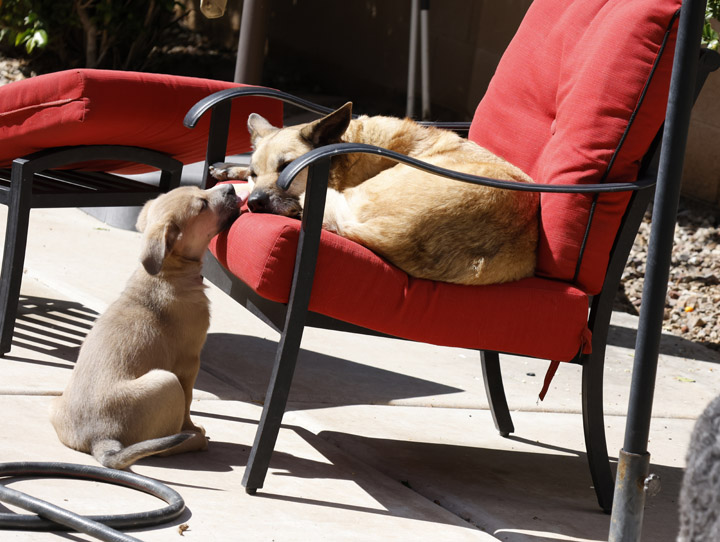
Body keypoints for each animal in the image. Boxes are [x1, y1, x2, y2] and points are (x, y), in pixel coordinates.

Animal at [50, 185, 245, 470]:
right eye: (202, 205)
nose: (230, 188)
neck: (168, 273)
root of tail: (100, 439)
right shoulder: (189, 363)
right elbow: (188, 406)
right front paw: (193, 428)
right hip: (166, 380)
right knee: (163, 447)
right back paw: (195, 440)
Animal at [214, 103, 540, 286]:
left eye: (287, 168)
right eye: (255, 172)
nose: (255, 203)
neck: (349, 147)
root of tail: (397, 233)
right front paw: (230, 169)